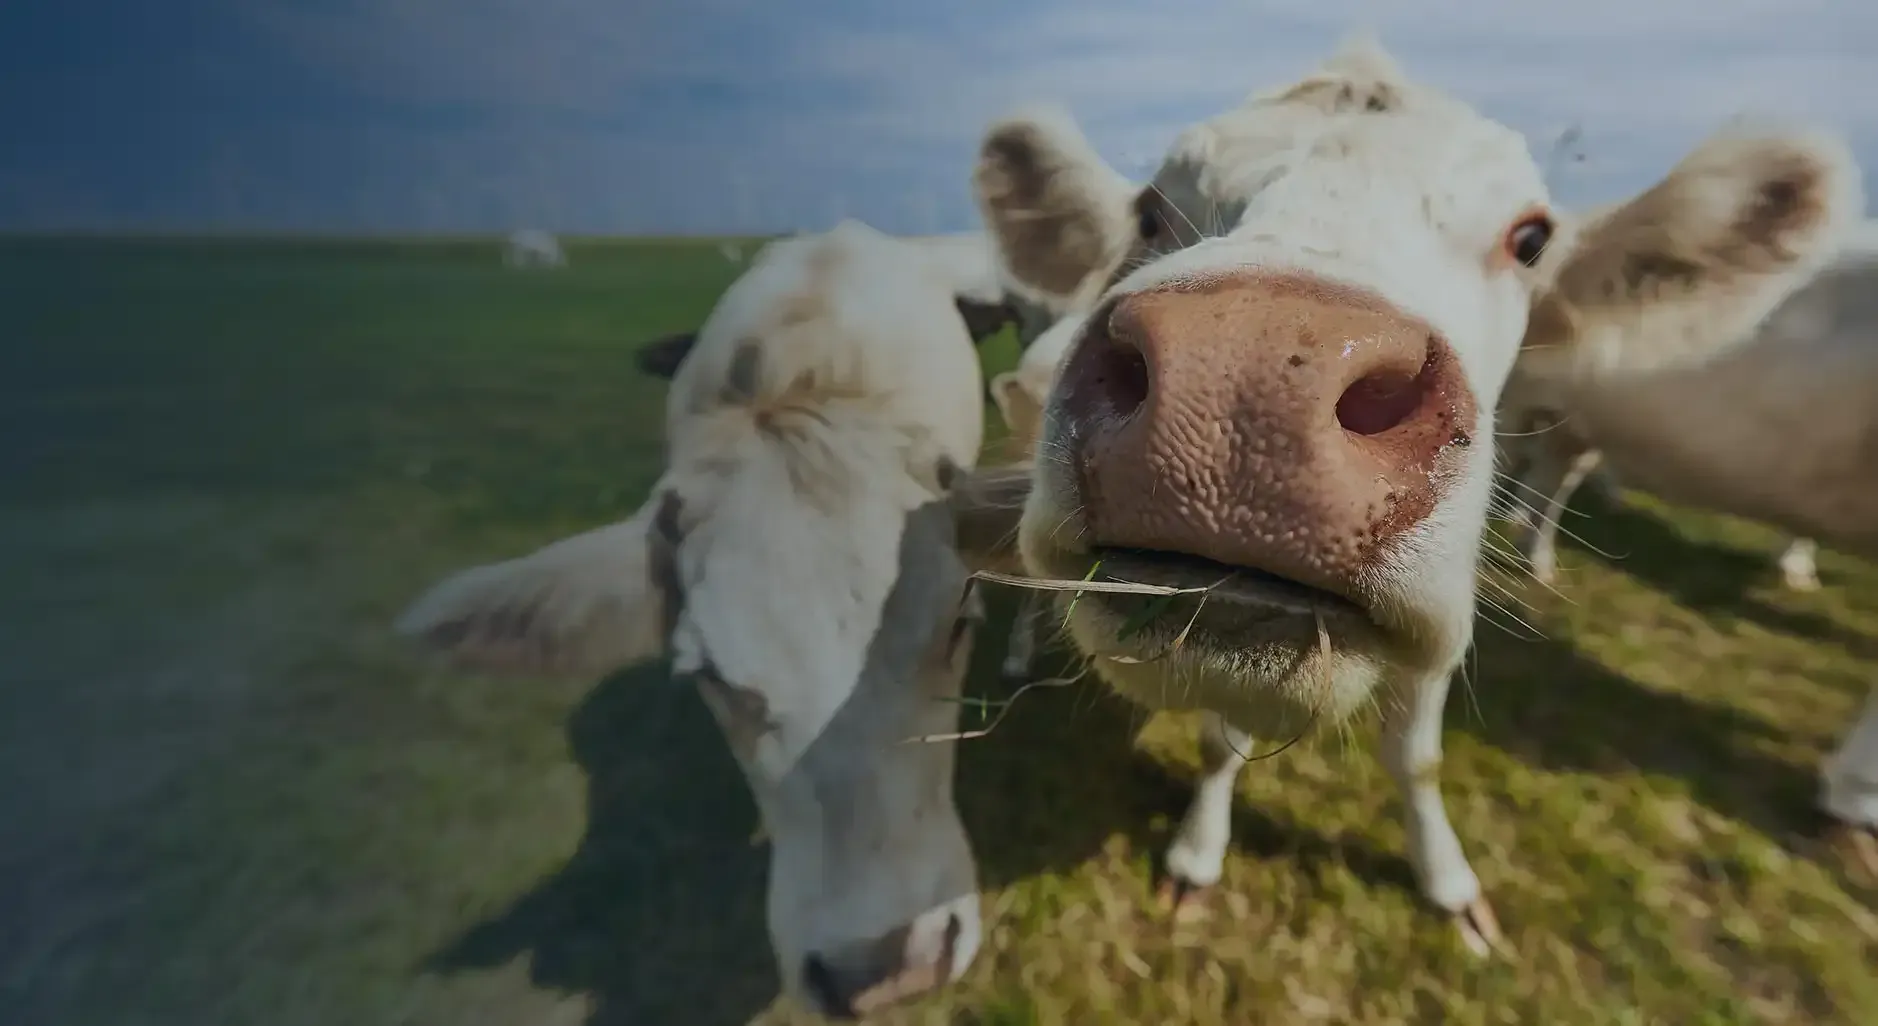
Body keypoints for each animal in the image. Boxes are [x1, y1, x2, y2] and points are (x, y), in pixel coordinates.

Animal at [946, 35, 1863, 951]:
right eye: (1149, 212)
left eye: (1531, 238)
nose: (1247, 375)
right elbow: (1219, 745)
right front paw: (1196, 859)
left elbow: (1417, 758)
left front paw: (1449, 886)